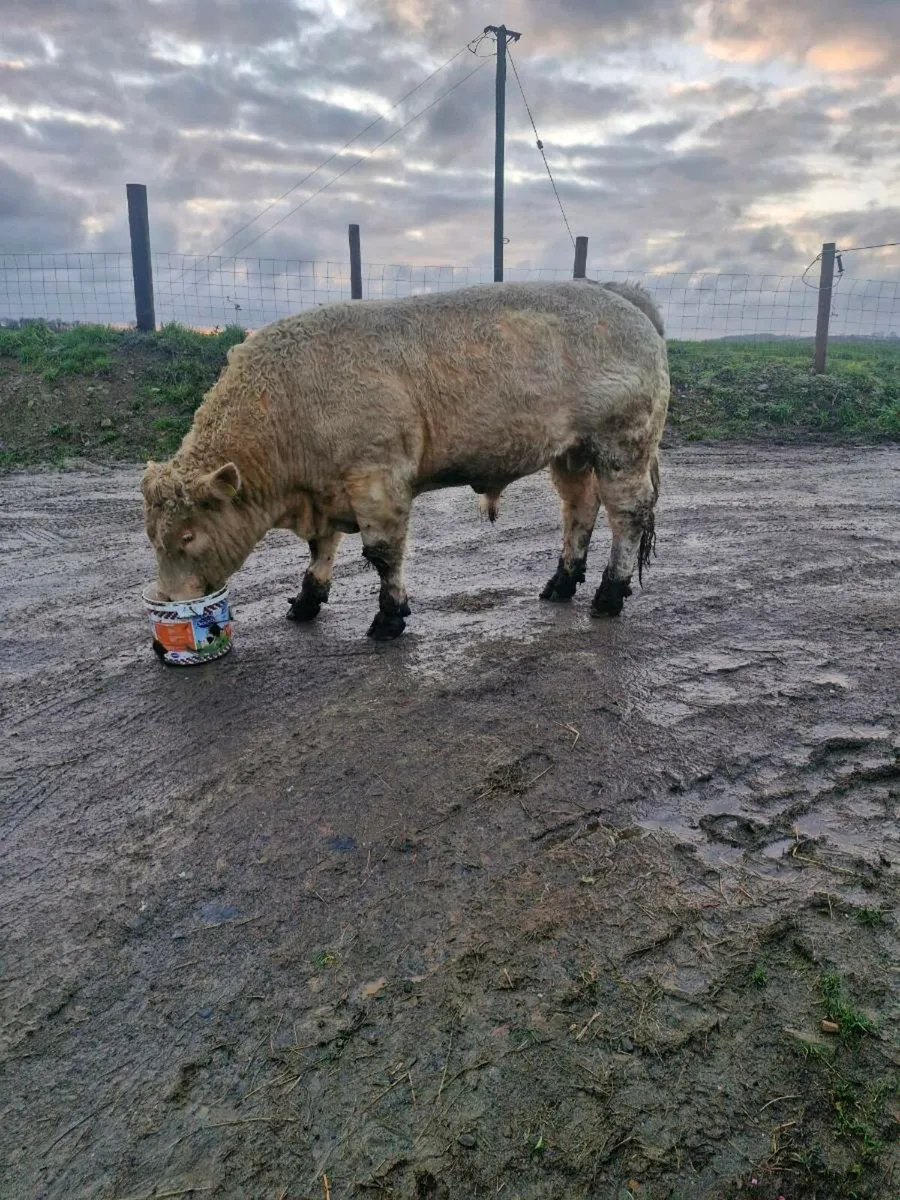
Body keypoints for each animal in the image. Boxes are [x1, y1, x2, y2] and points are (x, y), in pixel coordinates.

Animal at [141, 279, 669, 640]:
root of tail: (622, 295)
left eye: (188, 535)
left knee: (628, 514)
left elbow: (382, 552)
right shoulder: (326, 488)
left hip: (623, 443)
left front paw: (389, 616)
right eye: (152, 536)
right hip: (573, 454)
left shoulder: (377, 477)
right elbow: (320, 548)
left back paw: (609, 593)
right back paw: (562, 581)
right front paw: (307, 600)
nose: (168, 600)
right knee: (579, 509)